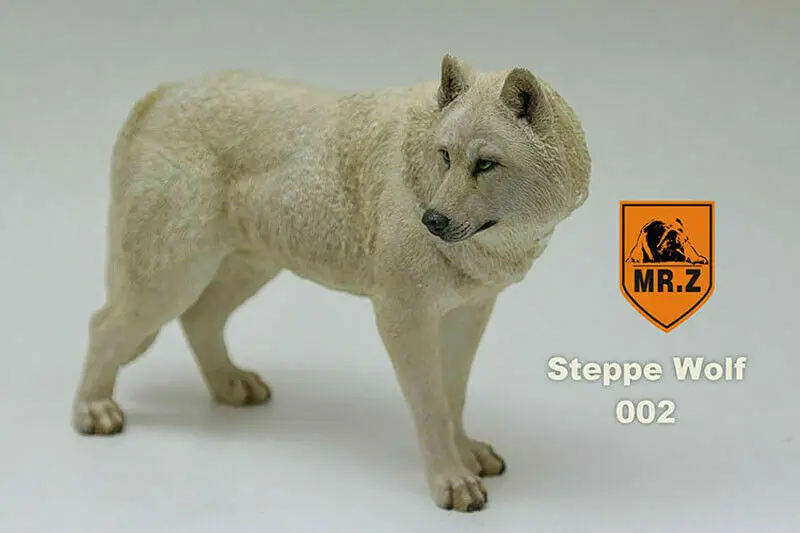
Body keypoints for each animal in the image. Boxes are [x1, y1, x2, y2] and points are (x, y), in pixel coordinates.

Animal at [72, 54, 591, 512]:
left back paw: (229, 385)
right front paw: (451, 481)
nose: (433, 221)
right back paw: (93, 410)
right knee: (103, 325)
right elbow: (431, 406)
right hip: (171, 278)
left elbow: (453, 397)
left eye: (485, 164)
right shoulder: (404, 318)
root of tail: (161, 93)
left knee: (200, 318)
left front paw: (465, 455)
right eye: (445, 157)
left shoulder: (467, 315)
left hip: (245, 269)